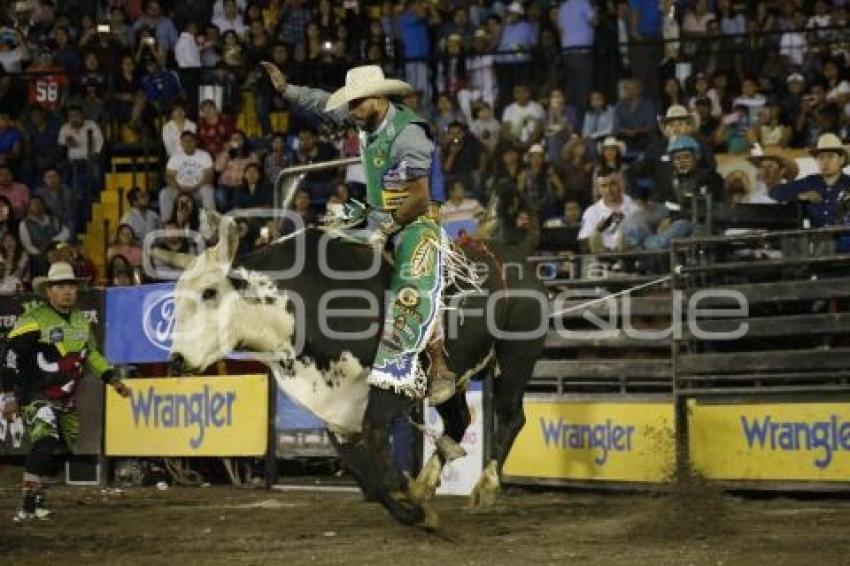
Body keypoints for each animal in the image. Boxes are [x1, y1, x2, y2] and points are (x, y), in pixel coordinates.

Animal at [181, 232, 544, 528]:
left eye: (210, 292)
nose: (178, 358)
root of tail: (520, 262)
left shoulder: (391, 390)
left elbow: (377, 445)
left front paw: (411, 502)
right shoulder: (335, 407)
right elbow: (366, 476)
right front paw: (412, 508)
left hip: (515, 358)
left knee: (511, 417)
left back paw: (486, 485)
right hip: (454, 380)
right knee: (460, 419)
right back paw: (426, 482)